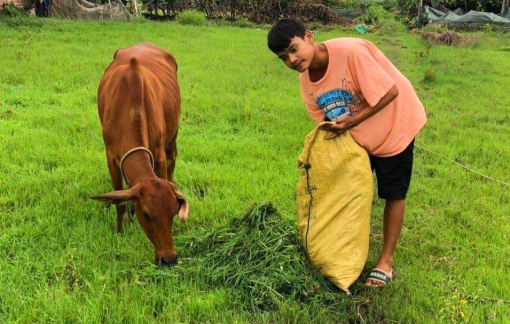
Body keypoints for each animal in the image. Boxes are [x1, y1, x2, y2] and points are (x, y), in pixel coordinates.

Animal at [91, 43, 187, 266]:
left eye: (174, 212)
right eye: (147, 214)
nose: (169, 258)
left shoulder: (158, 153)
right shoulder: (111, 157)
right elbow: (119, 202)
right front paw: (120, 229)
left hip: (173, 133)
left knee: (173, 158)